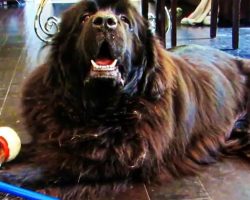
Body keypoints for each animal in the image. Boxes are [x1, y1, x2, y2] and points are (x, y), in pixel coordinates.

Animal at [0, 0, 250, 199]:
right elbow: (40, 150)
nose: (104, 21)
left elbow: (59, 168)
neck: (99, 110)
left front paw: (14, 176)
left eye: (124, 20)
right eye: (84, 17)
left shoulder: (116, 164)